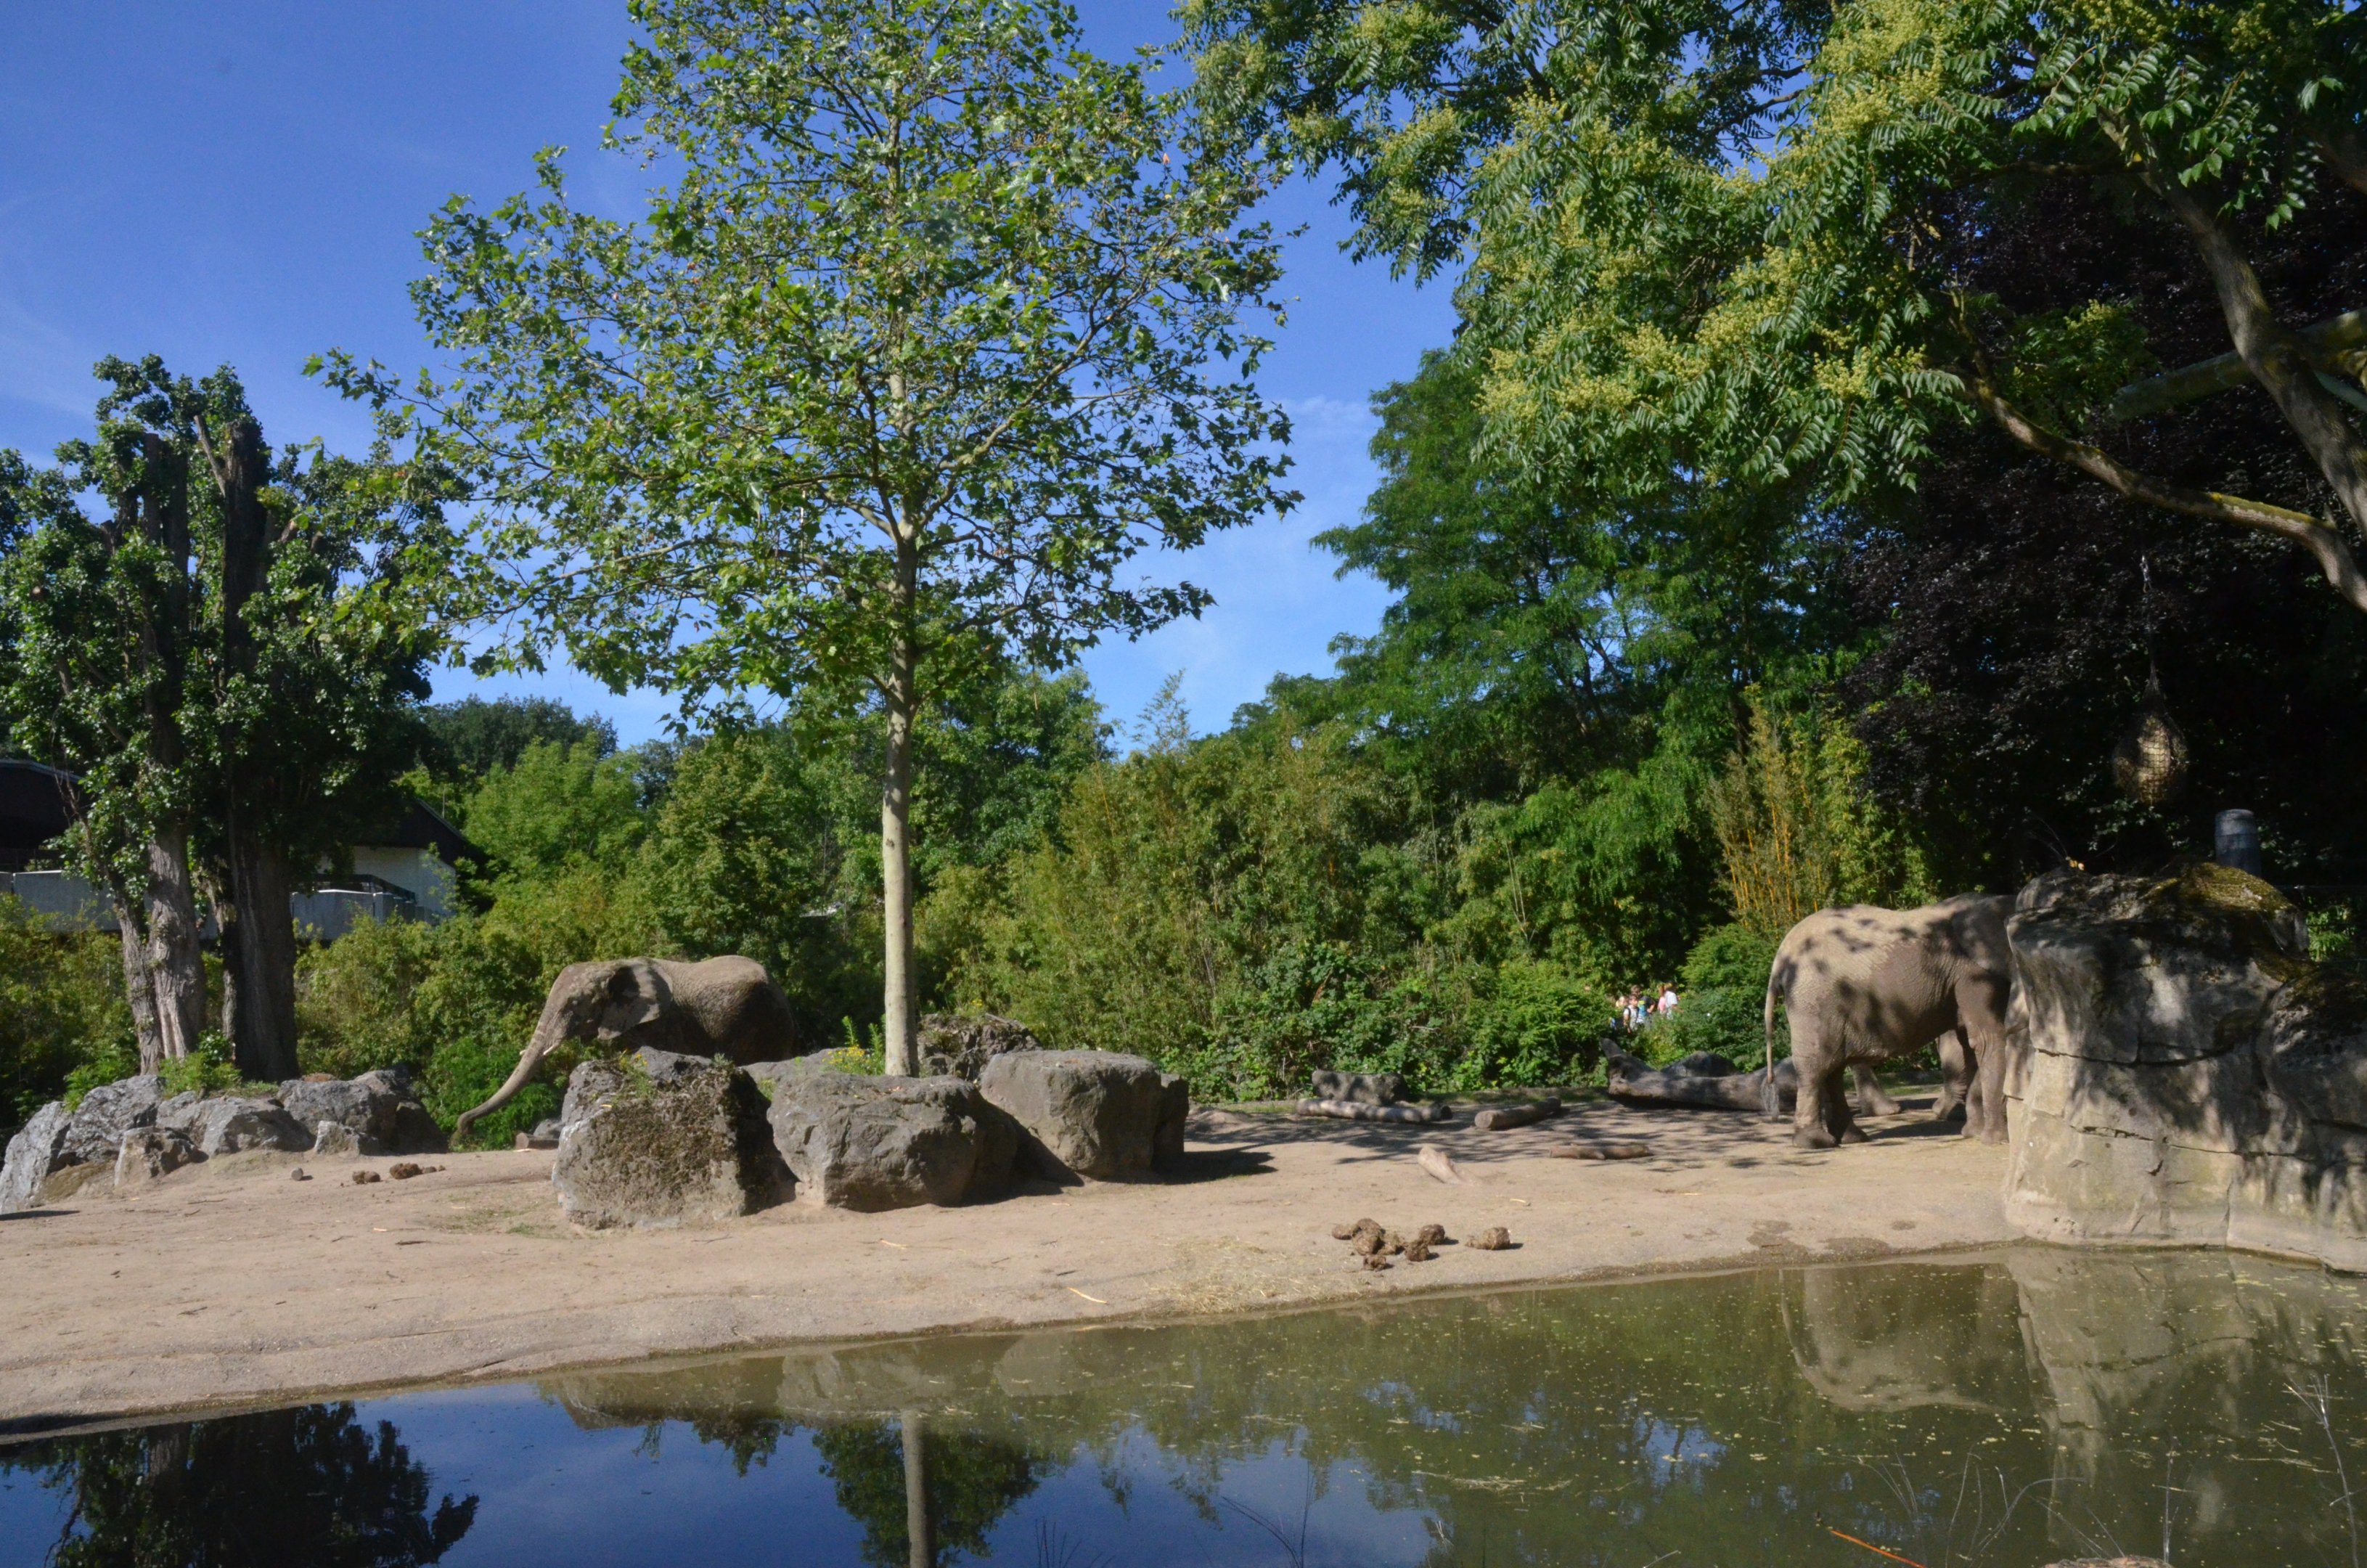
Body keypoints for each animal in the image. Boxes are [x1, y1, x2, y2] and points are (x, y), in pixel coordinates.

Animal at [1763, 895, 2012, 1149]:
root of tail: (1779, 960)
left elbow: (1971, 1046)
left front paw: (1974, 1134)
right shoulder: (1975, 972)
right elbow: (1989, 1038)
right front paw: (1999, 1140)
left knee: (1833, 1069)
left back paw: (1851, 1138)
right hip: (1814, 1001)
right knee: (1816, 1067)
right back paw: (1816, 1143)